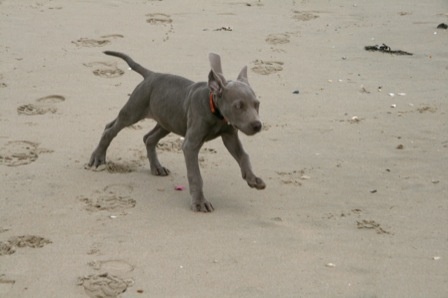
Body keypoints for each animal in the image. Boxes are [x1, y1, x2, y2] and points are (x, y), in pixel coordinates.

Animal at [87, 52, 266, 213]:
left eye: (257, 104)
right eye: (238, 106)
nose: (257, 125)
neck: (215, 111)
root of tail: (151, 75)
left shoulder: (230, 136)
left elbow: (244, 156)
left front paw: (252, 179)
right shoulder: (190, 145)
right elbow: (195, 175)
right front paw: (200, 202)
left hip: (167, 120)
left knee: (148, 138)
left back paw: (157, 167)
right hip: (134, 110)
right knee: (110, 129)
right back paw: (98, 158)